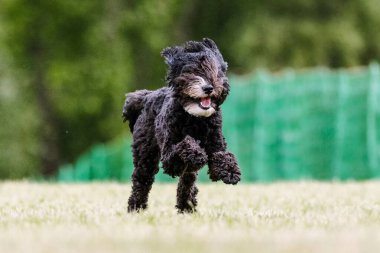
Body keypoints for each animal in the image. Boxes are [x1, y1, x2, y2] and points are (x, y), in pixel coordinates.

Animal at [121, 38, 240, 211]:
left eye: (216, 71)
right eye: (192, 71)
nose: (208, 87)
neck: (196, 119)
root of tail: (147, 96)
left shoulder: (216, 142)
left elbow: (223, 155)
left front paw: (230, 171)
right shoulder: (169, 158)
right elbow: (184, 144)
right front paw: (197, 153)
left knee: (187, 181)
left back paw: (186, 206)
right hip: (146, 155)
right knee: (142, 180)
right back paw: (136, 208)